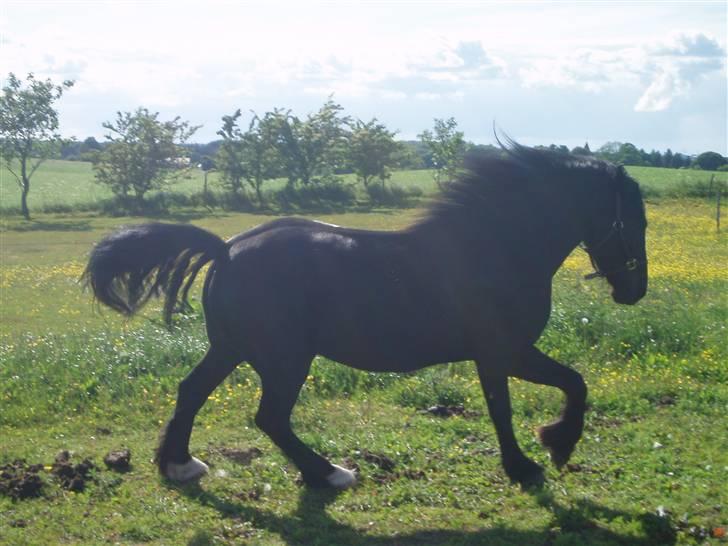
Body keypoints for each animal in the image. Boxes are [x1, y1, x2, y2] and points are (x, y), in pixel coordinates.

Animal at [82, 140, 644, 484]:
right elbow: (529, 399)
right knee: (269, 416)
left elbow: (567, 385)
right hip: (284, 358)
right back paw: (329, 473)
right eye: (633, 219)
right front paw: (539, 457)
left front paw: (551, 446)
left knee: (193, 392)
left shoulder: (506, 353)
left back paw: (180, 465)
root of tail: (227, 249)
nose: (634, 291)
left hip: (233, 348)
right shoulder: (502, 352)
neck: (494, 247)